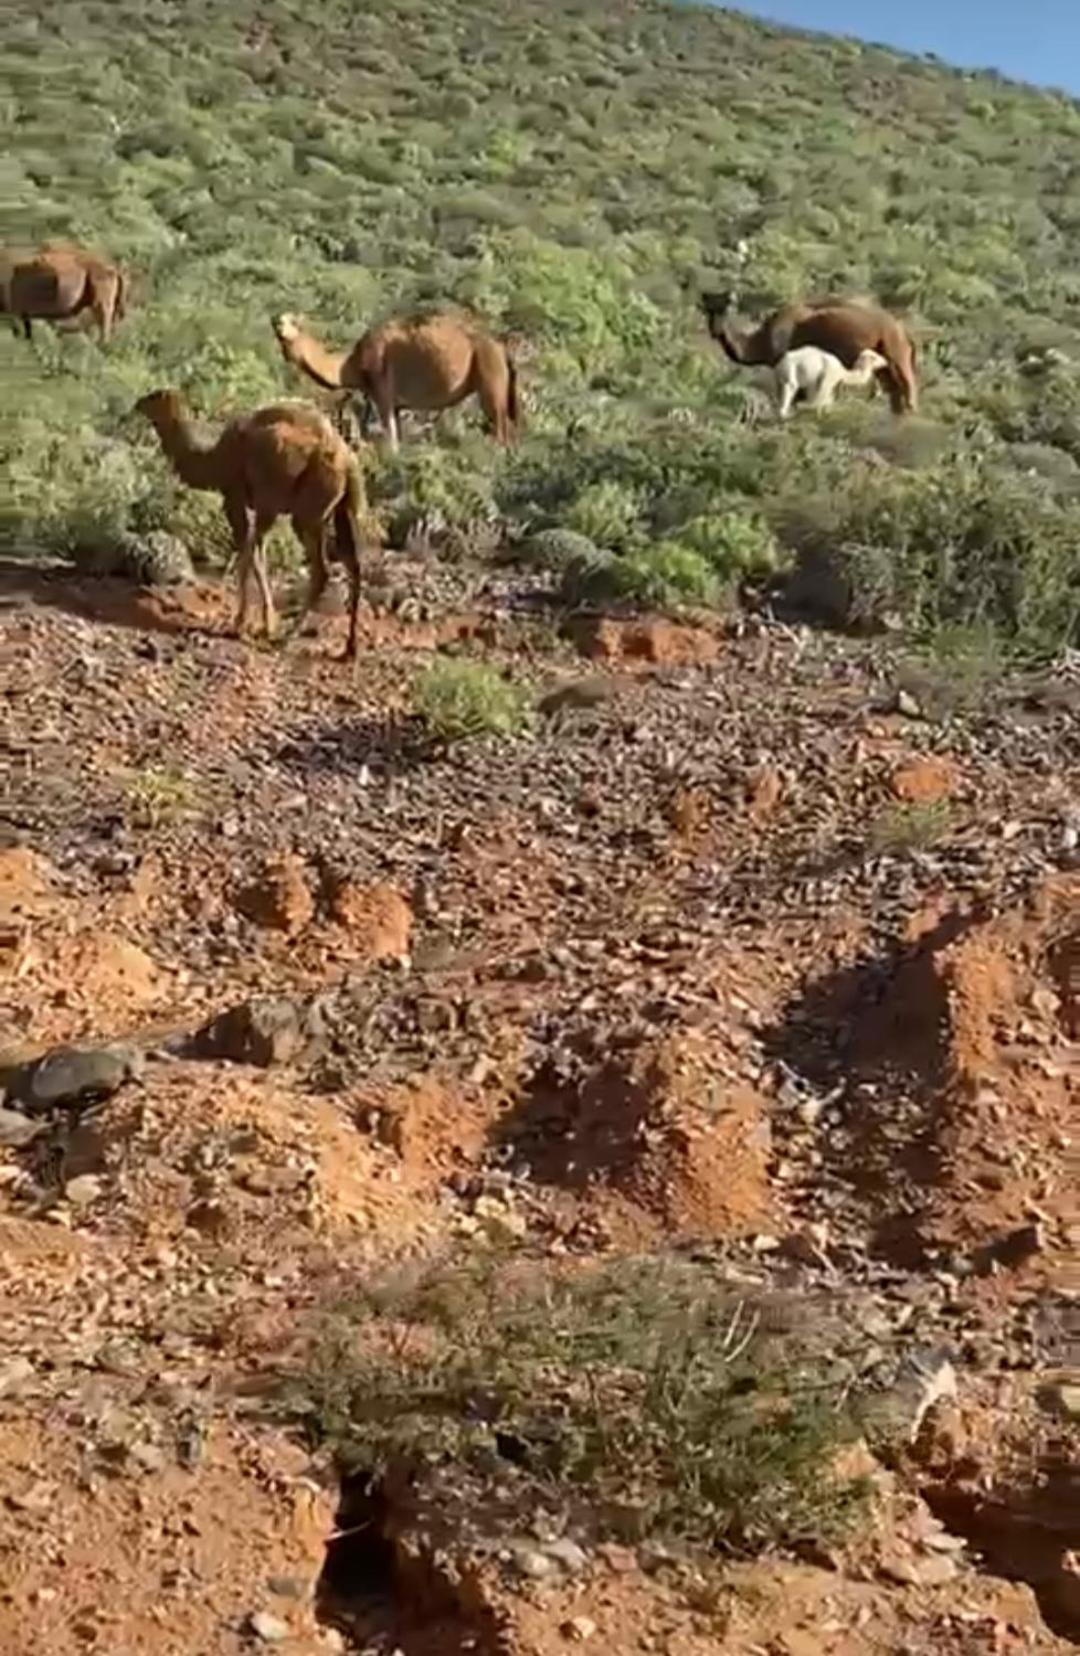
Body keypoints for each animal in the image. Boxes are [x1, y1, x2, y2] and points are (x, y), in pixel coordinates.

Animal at [134, 390, 371, 662]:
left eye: (154, 396)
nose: (137, 404)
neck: (214, 458)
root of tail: (349, 463)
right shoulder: (260, 507)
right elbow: (257, 556)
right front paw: (266, 624)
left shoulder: (238, 498)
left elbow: (247, 556)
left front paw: (241, 623)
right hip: (343, 510)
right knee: (354, 565)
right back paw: (349, 648)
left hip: (308, 510)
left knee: (322, 570)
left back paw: (287, 638)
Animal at [271, 309, 520, 453]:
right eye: (278, 320)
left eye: (294, 322)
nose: (277, 324)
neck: (352, 364)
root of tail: (501, 347)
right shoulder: (397, 405)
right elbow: (397, 436)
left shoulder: (382, 393)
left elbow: (391, 441)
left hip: (489, 372)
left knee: (501, 427)